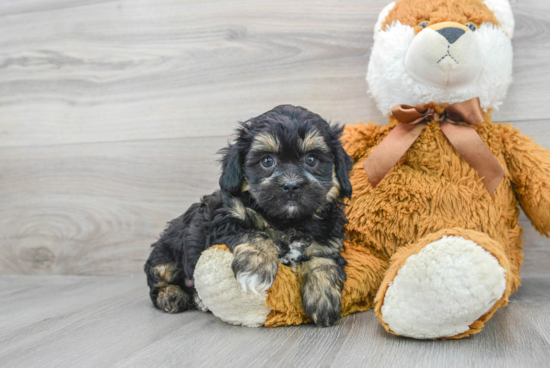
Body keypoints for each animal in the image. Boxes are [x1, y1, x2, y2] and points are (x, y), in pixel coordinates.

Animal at [144, 105, 354, 326]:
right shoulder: (225, 220)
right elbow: (255, 234)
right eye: (267, 161)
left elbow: (324, 261)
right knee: (157, 280)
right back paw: (171, 295)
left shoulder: (327, 242)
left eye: (311, 159)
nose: (291, 186)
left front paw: (324, 299)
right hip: (166, 256)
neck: (289, 222)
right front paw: (256, 267)